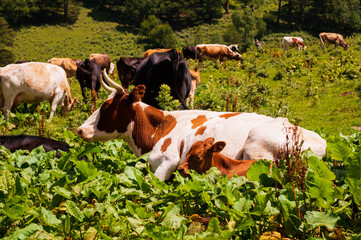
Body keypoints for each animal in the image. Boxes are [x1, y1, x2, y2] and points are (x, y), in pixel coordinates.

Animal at [78, 69, 326, 180]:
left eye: (106, 106)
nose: (80, 129)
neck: (160, 129)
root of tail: (321, 143)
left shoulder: (168, 161)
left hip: (256, 149)